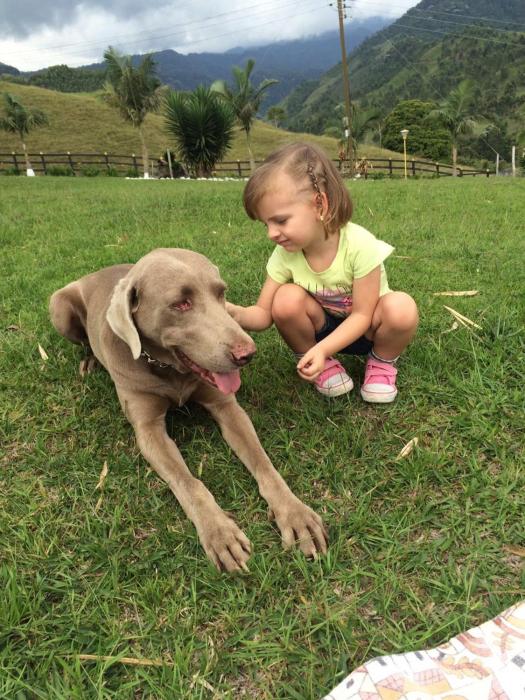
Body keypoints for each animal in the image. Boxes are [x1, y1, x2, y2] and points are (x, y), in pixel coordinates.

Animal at [49, 248, 327, 571]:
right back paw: (90, 360)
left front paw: (296, 514)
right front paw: (220, 533)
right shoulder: (148, 430)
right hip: (59, 306)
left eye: (221, 292)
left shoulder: (226, 406)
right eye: (181, 304)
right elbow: (189, 482)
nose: (247, 354)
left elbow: (263, 463)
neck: (169, 369)